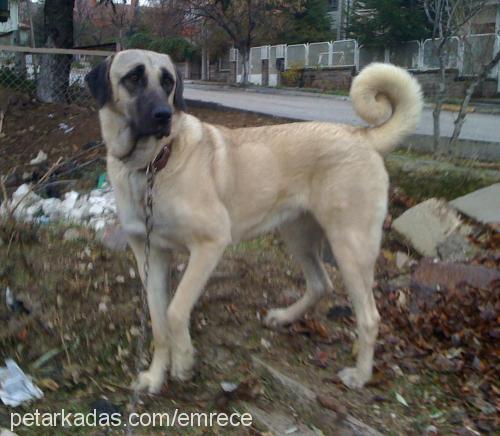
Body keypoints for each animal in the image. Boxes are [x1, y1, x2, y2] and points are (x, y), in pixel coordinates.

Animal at [86, 49, 422, 394]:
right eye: (134, 77)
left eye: (168, 82)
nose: (164, 115)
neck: (152, 165)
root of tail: (362, 135)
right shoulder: (150, 254)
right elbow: (158, 321)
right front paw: (156, 376)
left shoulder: (210, 244)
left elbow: (176, 311)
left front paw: (183, 362)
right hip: (298, 235)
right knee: (320, 283)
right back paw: (285, 318)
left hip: (350, 246)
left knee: (369, 317)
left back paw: (361, 375)